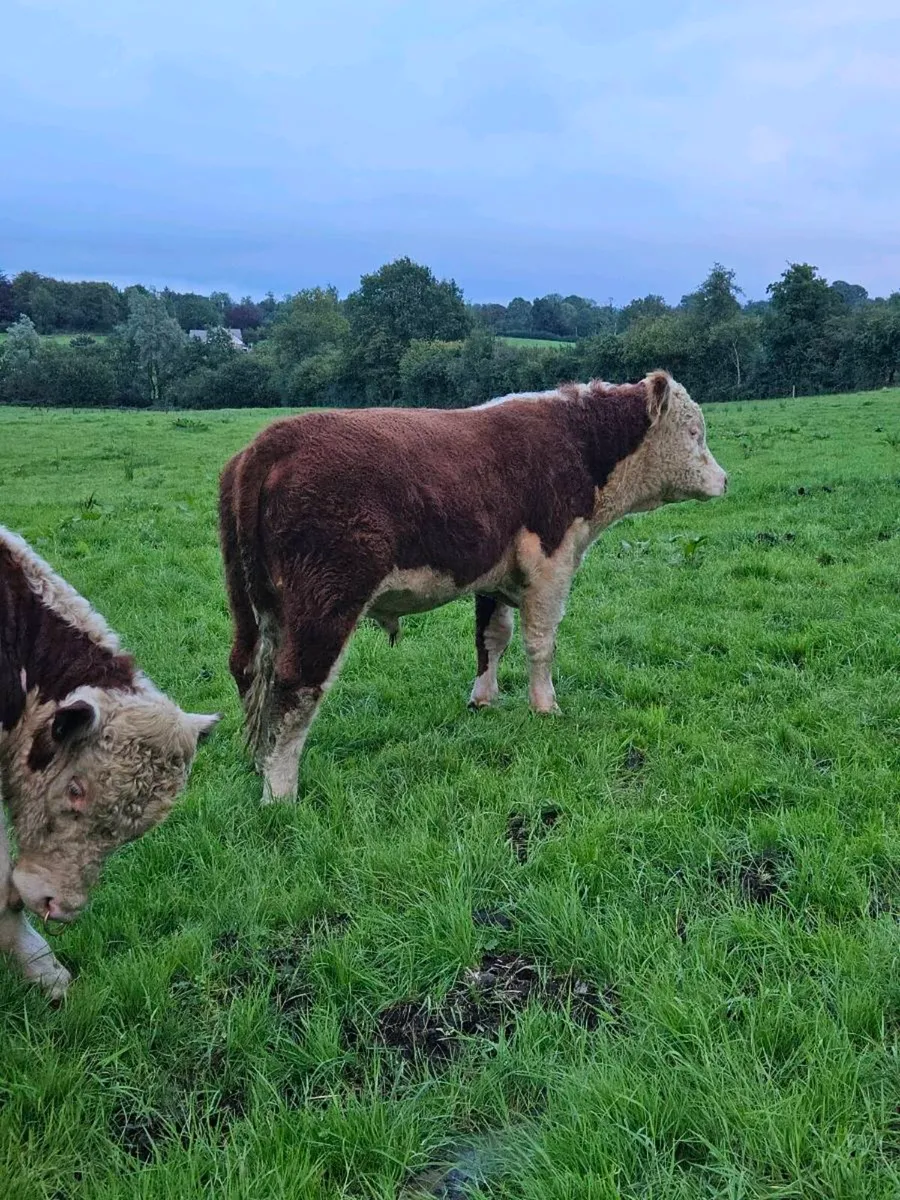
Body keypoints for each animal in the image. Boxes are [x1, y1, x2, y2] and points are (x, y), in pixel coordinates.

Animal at [219, 370, 727, 804]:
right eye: (694, 433)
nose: (724, 479)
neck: (578, 443)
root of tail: (273, 440)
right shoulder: (552, 562)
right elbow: (540, 642)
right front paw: (545, 707)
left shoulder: (497, 574)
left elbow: (492, 637)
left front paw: (483, 698)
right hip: (326, 600)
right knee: (296, 684)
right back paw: (279, 792)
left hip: (256, 605)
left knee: (250, 670)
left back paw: (258, 762)